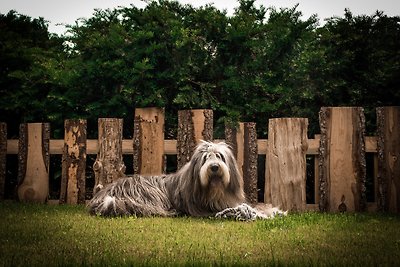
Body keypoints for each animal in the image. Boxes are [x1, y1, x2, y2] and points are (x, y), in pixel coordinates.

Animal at [88, 141, 286, 221]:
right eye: (206, 158)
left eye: (220, 156)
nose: (214, 167)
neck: (214, 190)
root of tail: (105, 194)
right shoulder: (205, 210)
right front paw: (262, 214)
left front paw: (273, 210)